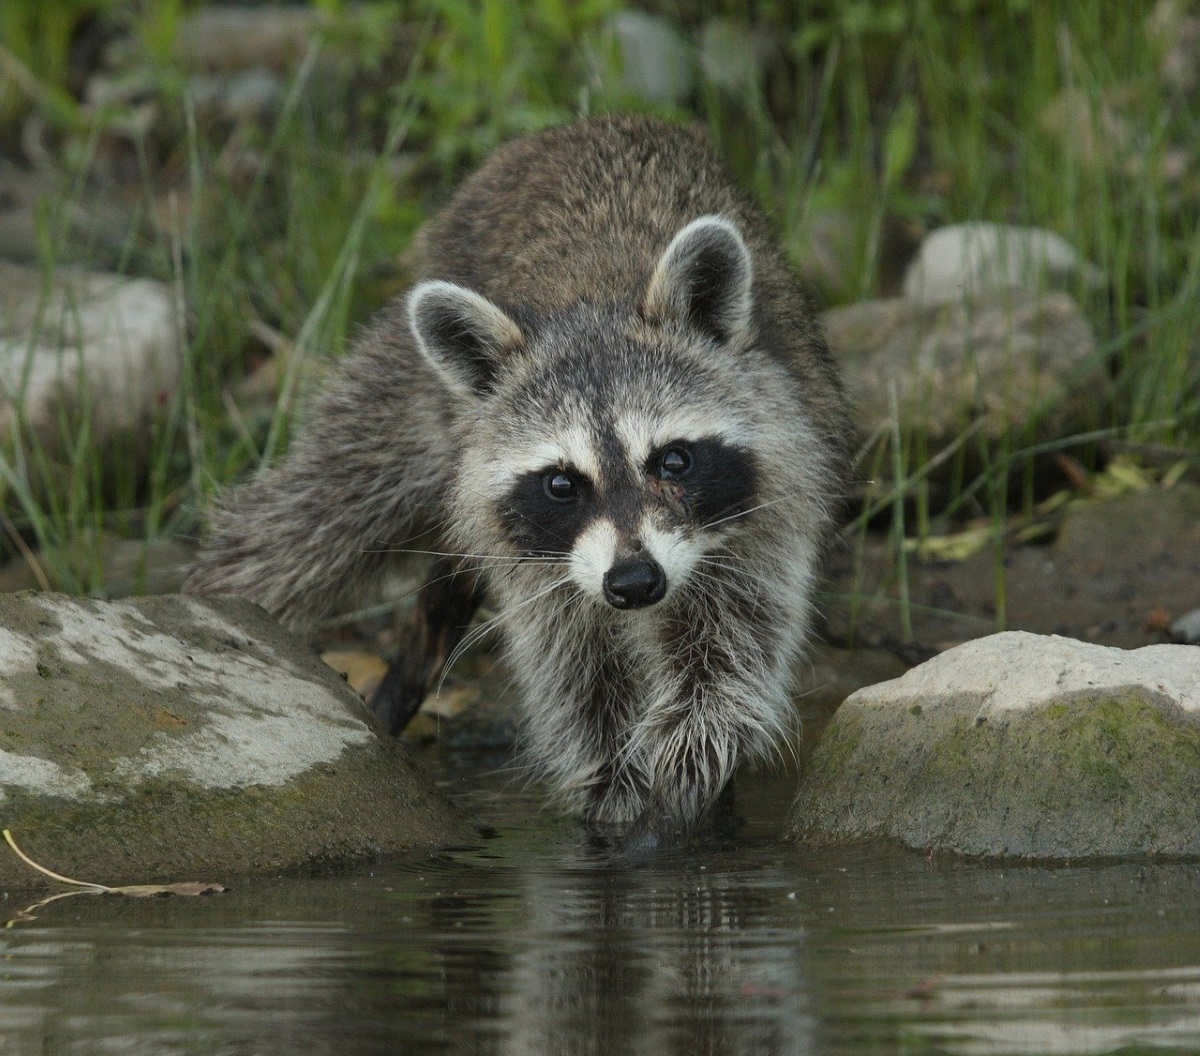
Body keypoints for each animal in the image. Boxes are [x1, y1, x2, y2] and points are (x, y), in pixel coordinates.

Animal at [182, 113, 849, 849]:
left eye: (674, 461)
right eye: (562, 484)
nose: (634, 583)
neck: (597, 300)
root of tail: (579, 127)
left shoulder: (772, 497)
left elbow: (732, 649)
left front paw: (687, 768)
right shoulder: (540, 567)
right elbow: (576, 678)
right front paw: (613, 795)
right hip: (407, 392)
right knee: (311, 516)